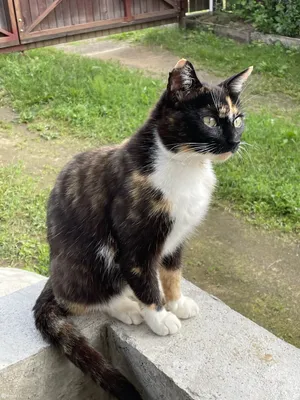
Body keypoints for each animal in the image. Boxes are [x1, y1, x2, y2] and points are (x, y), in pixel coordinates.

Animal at [33, 59, 253, 400]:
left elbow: (172, 272)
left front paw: (176, 302)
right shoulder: (135, 245)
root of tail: (52, 276)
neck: (186, 166)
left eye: (238, 119)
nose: (234, 141)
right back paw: (126, 307)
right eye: (209, 120)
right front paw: (160, 317)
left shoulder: (177, 239)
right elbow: (147, 282)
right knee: (79, 297)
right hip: (86, 258)